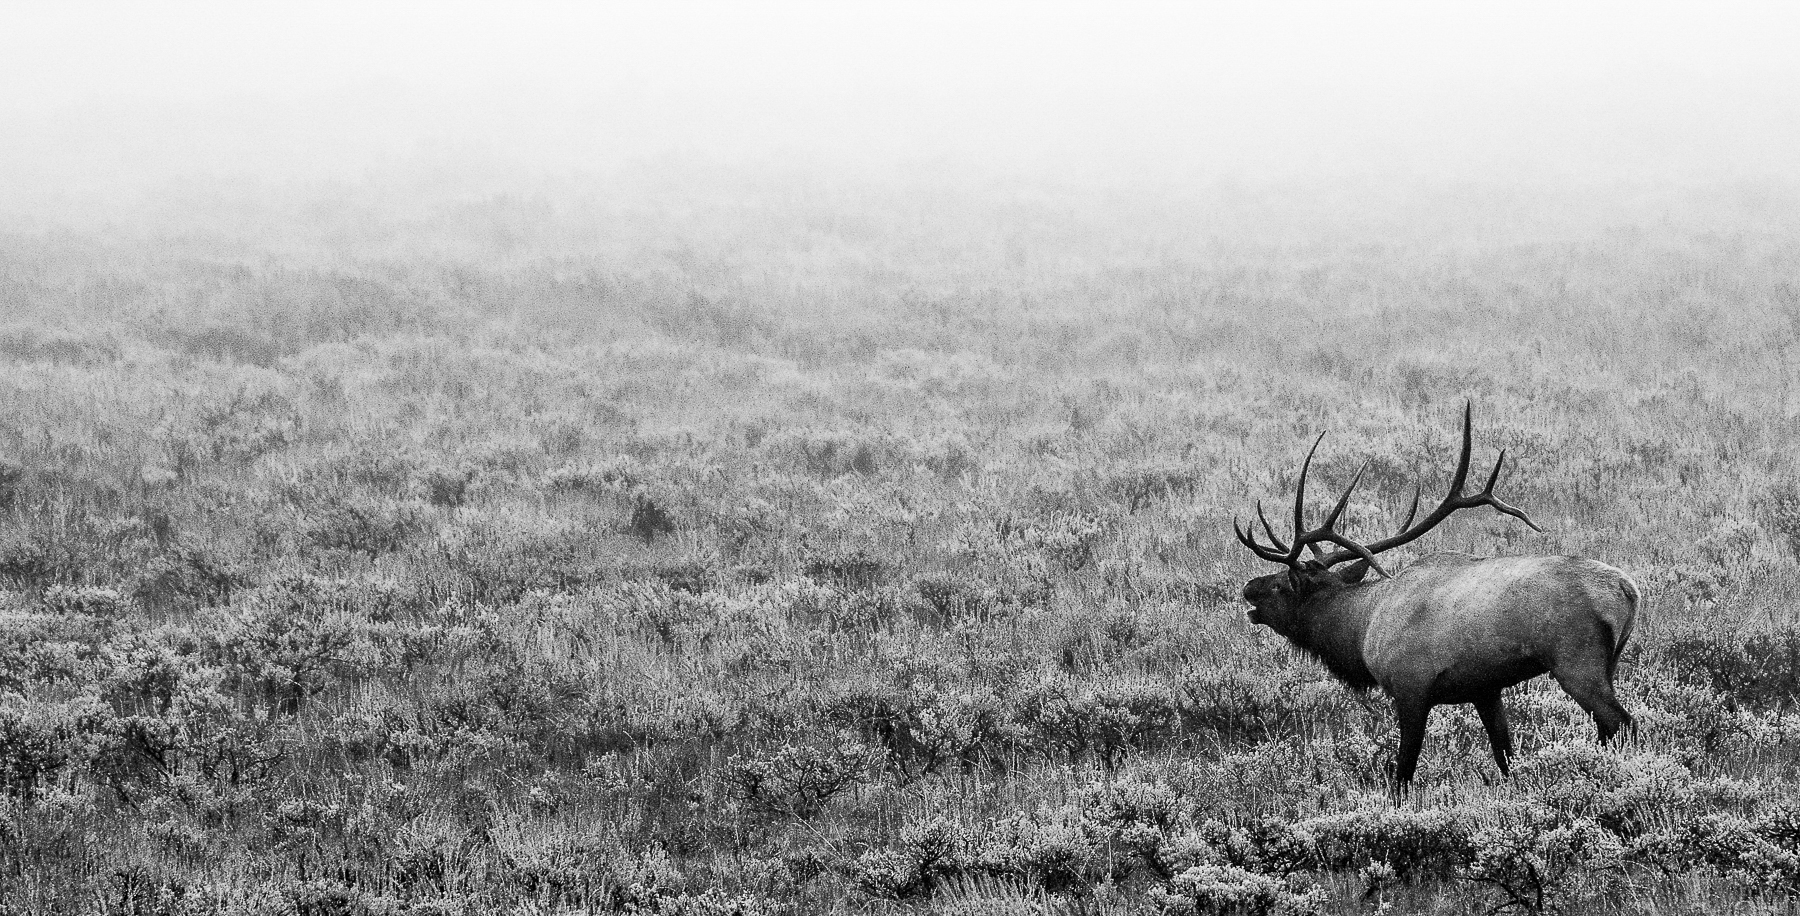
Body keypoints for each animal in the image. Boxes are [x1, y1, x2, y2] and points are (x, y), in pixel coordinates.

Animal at [1238, 403, 1634, 781]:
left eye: (1279, 585)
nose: (1248, 587)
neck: (1361, 631)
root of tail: (1627, 589)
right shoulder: (1485, 690)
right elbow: (1504, 756)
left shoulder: (1411, 688)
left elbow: (1403, 772)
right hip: (1608, 664)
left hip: (1576, 662)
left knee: (1621, 722)